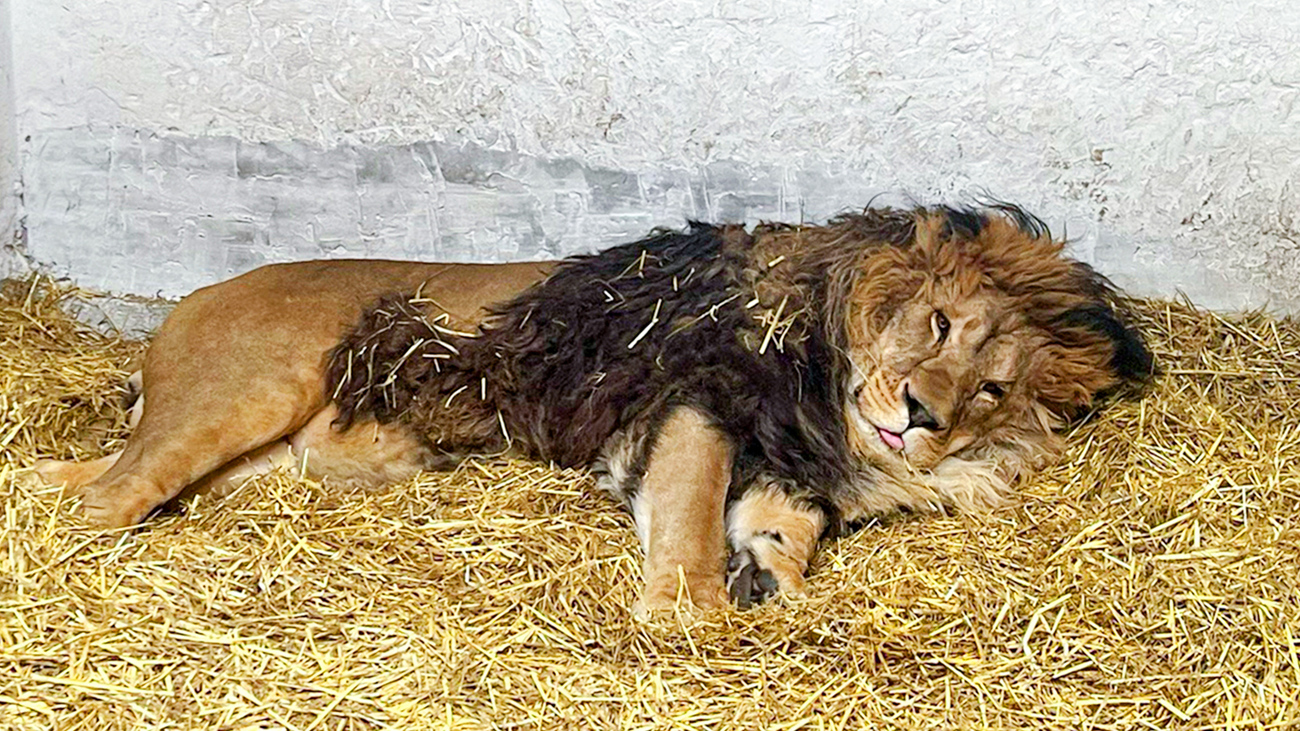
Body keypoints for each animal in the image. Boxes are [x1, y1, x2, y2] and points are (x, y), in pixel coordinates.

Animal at [32, 202, 1149, 613]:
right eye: (937, 322)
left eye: (992, 389)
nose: (921, 414)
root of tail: (192, 300)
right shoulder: (694, 400)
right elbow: (691, 526)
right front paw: (687, 615)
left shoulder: (782, 461)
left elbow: (778, 520)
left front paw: (772, 572)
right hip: (250, 392)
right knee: (106, 499)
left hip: (284, 455)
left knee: (86, 476)